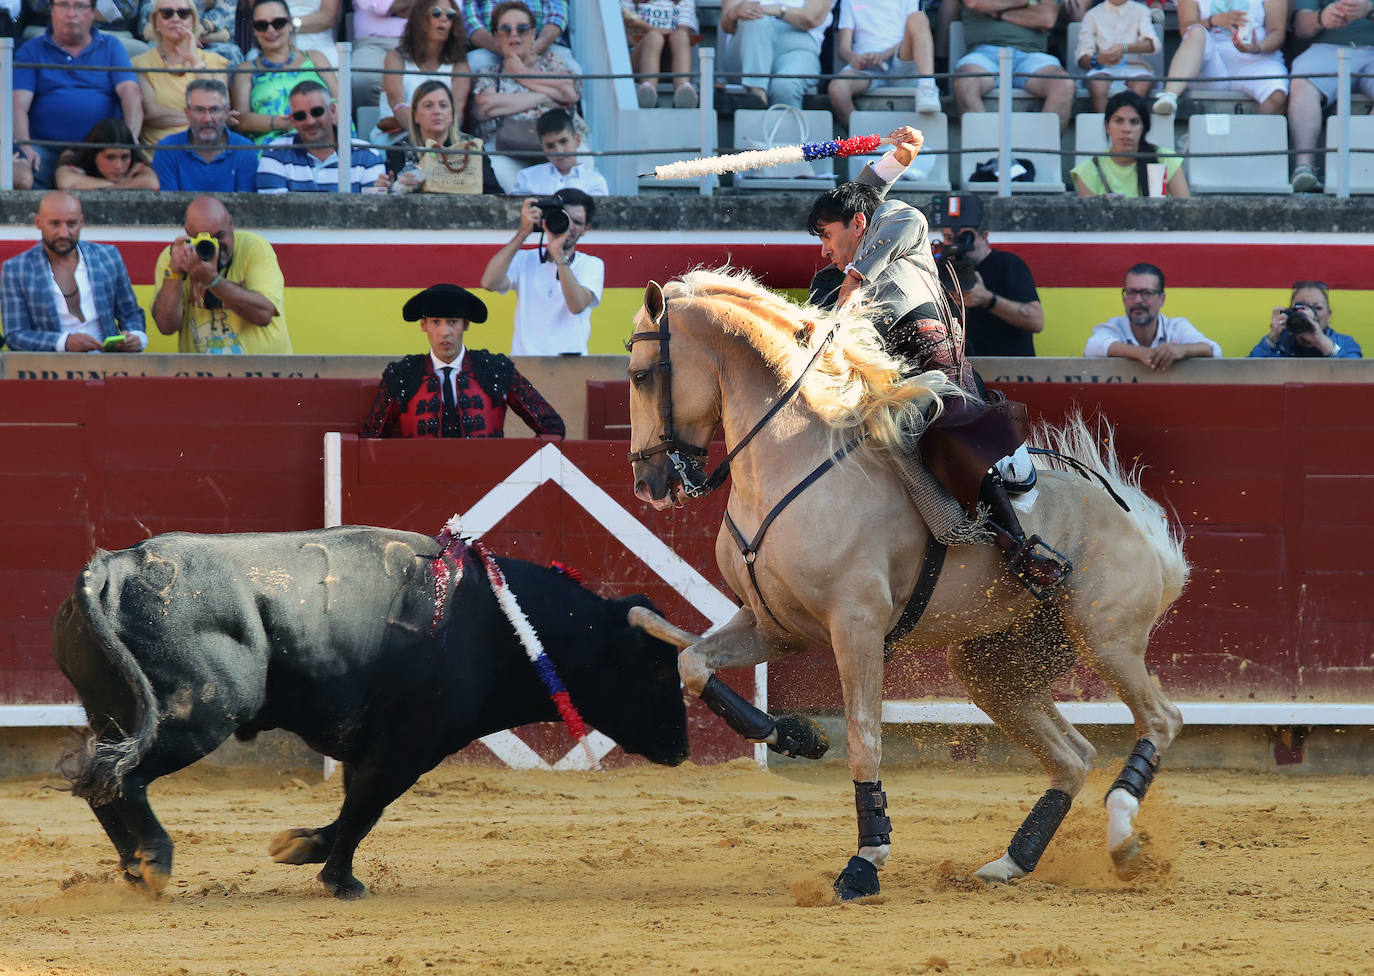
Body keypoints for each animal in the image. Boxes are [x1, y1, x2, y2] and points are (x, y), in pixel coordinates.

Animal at [53, 527, 692, 901]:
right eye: (661, 672)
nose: (683, 748)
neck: (497, 622)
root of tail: (114, 566)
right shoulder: (409, 743)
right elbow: (367, 806)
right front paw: (341, 881)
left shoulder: (378, 742)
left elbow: (352, 804)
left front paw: (302, 846)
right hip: (196, 713)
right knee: (126, 777)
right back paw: (156, 863)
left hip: (117, 713)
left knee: (101, 779)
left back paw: (134, 867)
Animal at [629, 268, 1187, 901]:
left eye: (641, 375)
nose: (648, 483)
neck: (788, 462)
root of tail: (1140, 529)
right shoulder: (773, 626)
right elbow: (694, 664)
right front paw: (799, 738)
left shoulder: (857, 628)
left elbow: (864, 739)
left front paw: (866, 860)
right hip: (996, 665)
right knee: (1074, 754)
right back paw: (1013, 860)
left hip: (1107, 638)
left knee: (1160, 719)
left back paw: (1122, 837)